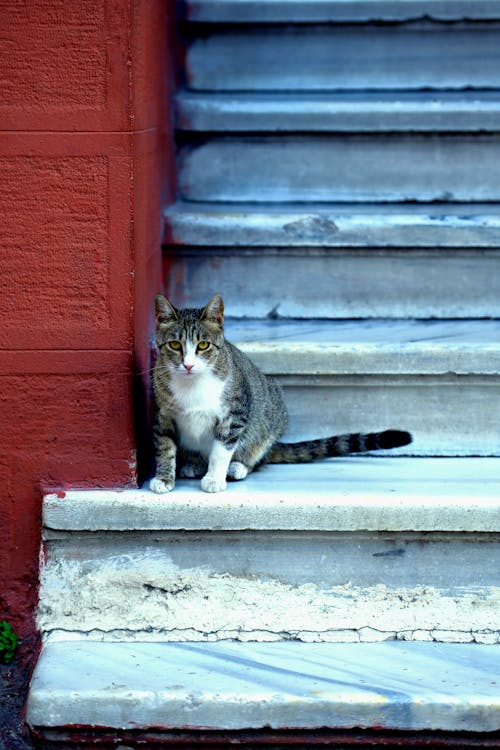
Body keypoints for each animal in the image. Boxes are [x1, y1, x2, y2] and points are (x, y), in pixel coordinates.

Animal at [150, 296, 412, 496]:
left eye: (203, 346)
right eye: (175, 345)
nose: (188, 365)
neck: (192, 384)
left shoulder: (235, 414)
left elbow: (221, 449)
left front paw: (214, 478)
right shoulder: (162, 414)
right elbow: (164, 446)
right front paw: (164, 478)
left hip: (270, 418)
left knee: (258, 457)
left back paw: (238, 467)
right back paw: (192, 464)